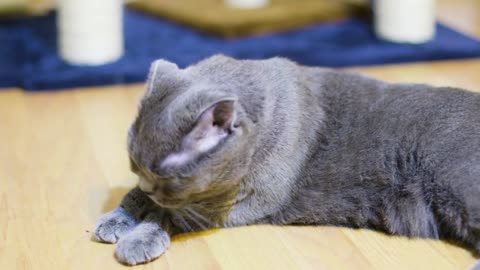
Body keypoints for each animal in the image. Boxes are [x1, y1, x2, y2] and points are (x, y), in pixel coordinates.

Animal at [92, 55, 478, 266]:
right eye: (135, 165)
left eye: (164, 176)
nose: (148, 187)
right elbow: (143, 200)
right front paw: (118, 217)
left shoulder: (243, 203)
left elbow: (171, 214)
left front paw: (139, 237)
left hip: (459, 186)